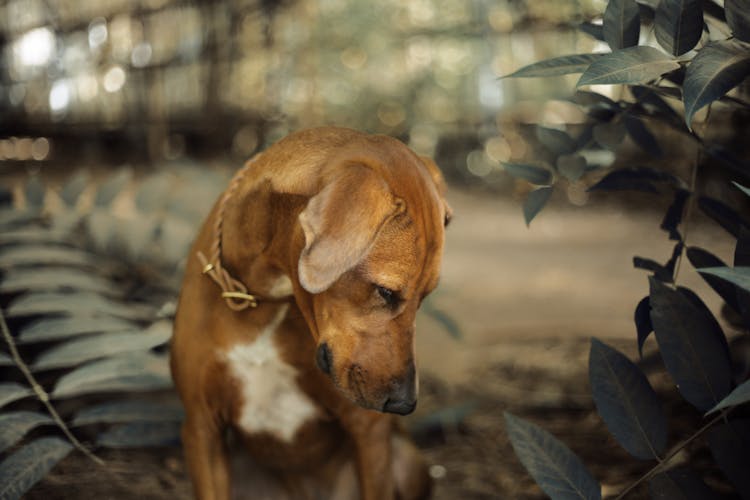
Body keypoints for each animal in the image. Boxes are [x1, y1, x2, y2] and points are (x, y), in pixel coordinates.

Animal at [172, 128, 452, 500]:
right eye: (386, 292)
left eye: (426, 296)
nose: (404, 404)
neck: (266, 300)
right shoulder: (203, 427)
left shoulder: (368, 431)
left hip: (407, 461)